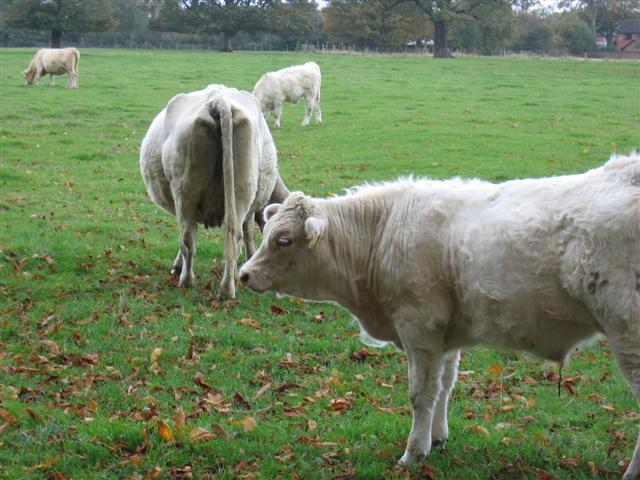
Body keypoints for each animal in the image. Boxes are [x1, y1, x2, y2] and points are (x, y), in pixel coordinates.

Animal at [140, 84, 289, 299]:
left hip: (185, 192)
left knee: (188, 239)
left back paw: (188, 281)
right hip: (239, 190)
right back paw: (227, 288)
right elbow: (247, 233)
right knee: (233, 236)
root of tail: (219, 100)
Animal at [239, 153, 640, 479]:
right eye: (266, 231)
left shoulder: (419, 329)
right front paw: (437, 438)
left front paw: (413, 452)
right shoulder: (446, 337)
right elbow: (445, 386)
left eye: (283, 240)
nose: (243, 274)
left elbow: (421, 393)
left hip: (628, 335)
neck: (382, 233)